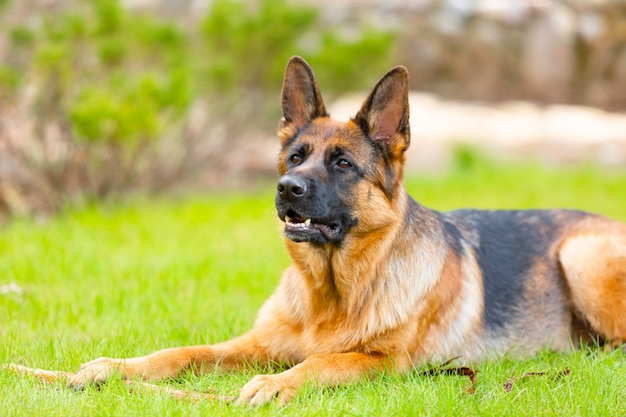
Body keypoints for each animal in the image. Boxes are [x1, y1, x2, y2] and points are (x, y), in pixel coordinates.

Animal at [22, 57, 624, 404]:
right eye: (295, 156)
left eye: (342, 164)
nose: (287, 188)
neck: (332, 293)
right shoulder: (255, 343)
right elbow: (181, 353)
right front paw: (110, 369)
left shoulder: (381, 364)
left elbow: (322, 362)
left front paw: (274, 385)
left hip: (582, 255)